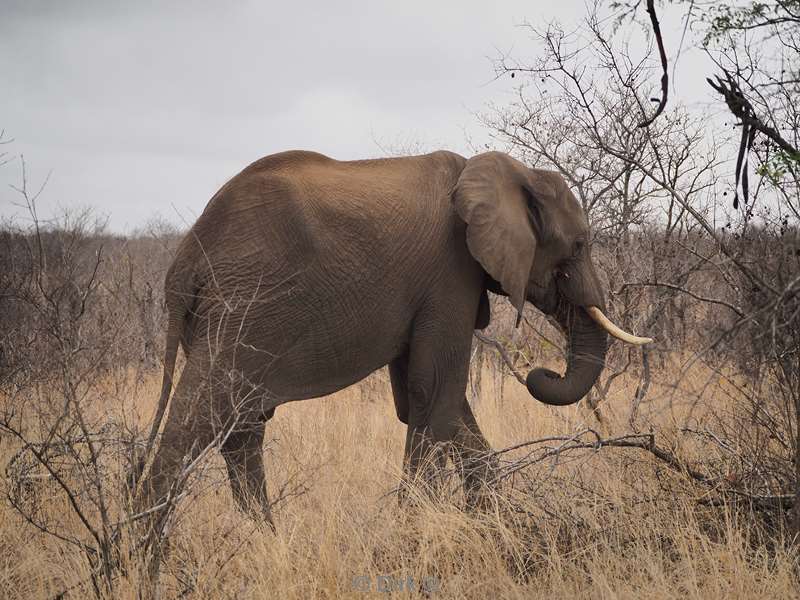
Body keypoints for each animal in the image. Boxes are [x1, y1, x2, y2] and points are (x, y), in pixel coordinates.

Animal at [133, 149, 648, 524]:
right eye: (577, 246)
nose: (541, 373)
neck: (505, 171)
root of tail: (184, 262)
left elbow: (429, 400)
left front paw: (493, 522)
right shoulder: (449, 274)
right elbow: (435, 396)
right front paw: (412, 531)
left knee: (242, 428)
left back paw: (263, 539)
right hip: (241, 308)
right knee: (201, 417)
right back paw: (142, 554)